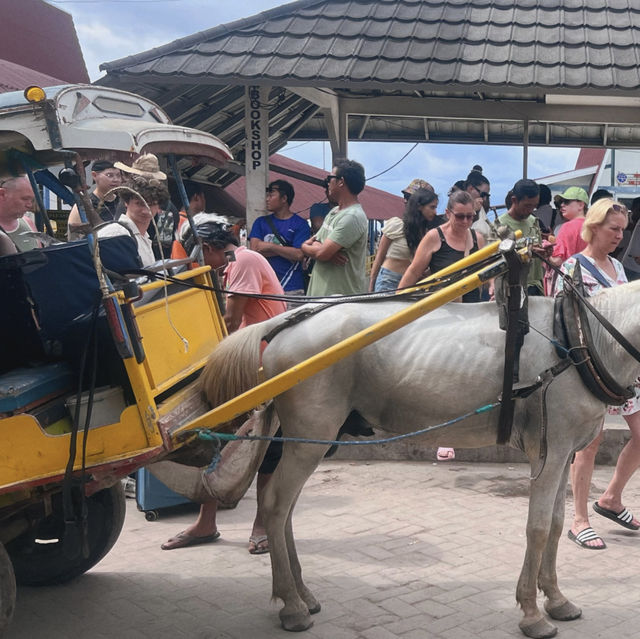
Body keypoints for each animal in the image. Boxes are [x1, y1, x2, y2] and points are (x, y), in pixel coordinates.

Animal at [200, 284, 640, 639]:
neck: (580, 338)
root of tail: (286, 322)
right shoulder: (548, 453)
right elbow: (537, 528)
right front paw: (532, 614)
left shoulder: (564, 452)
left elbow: (556, 524)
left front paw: (557, 600)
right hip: (310, 439)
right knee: (275, 505)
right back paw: (291, 606)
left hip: (310, 440)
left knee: (285, 507)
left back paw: (302, 594)